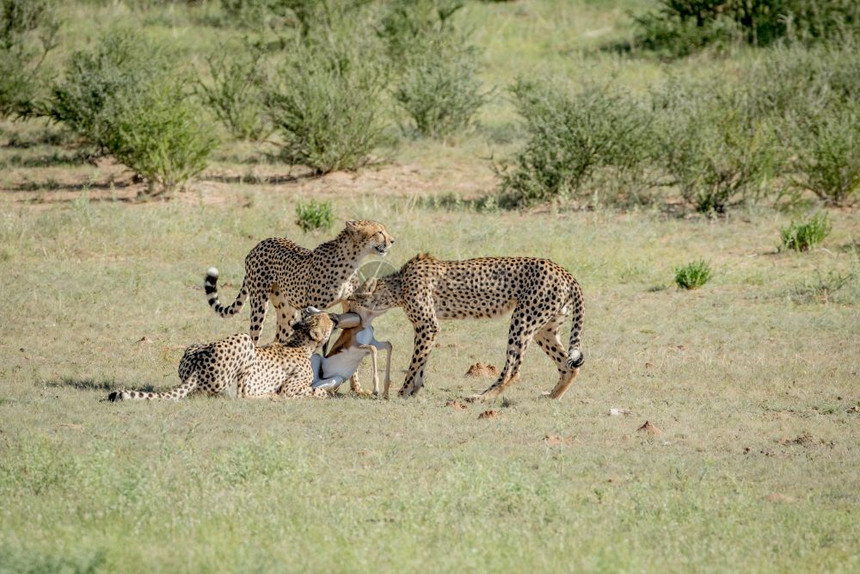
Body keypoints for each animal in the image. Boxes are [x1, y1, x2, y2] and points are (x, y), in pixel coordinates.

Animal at [107, 312, 336, 402]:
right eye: (326, 318)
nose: (334, 317)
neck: (299, 342)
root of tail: (196, 365)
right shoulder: (290, 388)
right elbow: (312, 390)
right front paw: (322, 393)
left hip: (196, 346)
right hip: (244, 340)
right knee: (242, 394)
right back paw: (270, 396)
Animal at [207, 220, 394, 346]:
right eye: (379, 232)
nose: (392, 241)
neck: (351, 260)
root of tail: (259, 244)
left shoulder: (349, 305)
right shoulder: (310, 309)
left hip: (287, 311)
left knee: (279, 338)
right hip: (259, 303)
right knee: (254, 335)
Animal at [350, 254, 584, 402]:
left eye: (351, 299)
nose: (349, 312)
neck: (397, 287)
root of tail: (563, 270)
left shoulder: (427, 326)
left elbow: (415, 362)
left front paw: (403, 391)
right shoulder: (427, 328)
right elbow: (422, 361)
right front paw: (414, 389)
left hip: (522, 322)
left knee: (512, 370)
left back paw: (481, 397)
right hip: (545, 330)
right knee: (568, 366)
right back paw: (552, 396)